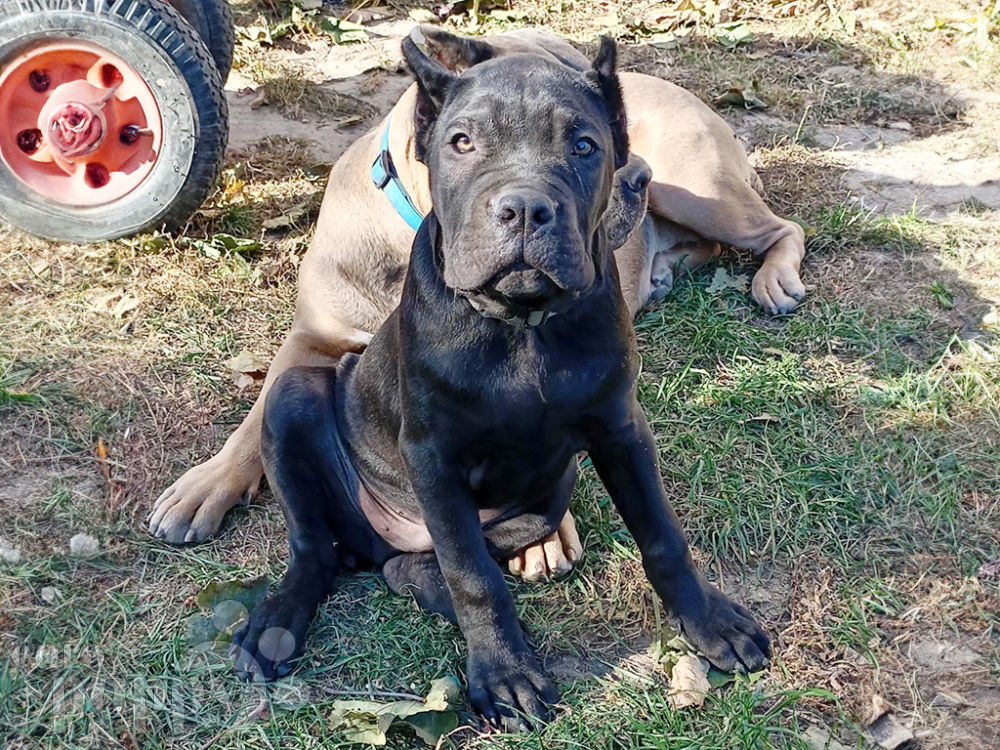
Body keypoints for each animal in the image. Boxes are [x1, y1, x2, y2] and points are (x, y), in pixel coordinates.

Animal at [230, 36, 768, 736]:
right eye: (461, 142)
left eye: (584, 144)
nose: (524, 210)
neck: (520, 326)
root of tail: (371, 544)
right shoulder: (432, 457)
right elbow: (473, 576)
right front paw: (506, 675)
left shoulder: (620, 431)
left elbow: (662, 535)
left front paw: (709, 622)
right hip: (295, 398)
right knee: (317, 547)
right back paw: (276, 623)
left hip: (550, 490)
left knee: (417, 564)